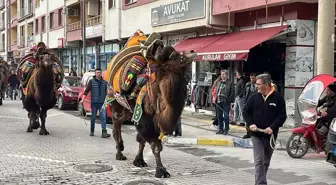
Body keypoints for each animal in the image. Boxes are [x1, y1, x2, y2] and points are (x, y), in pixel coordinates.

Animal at [103, 30, 197, 178]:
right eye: (175, 57)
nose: (192, 51)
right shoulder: (143, 117)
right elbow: (155, 145)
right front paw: (161, 171)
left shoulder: (151, 118)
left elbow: (142, 140)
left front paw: (139, 161)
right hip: (115, 104)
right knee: (116, 126)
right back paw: (119, 153)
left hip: (128, 110)